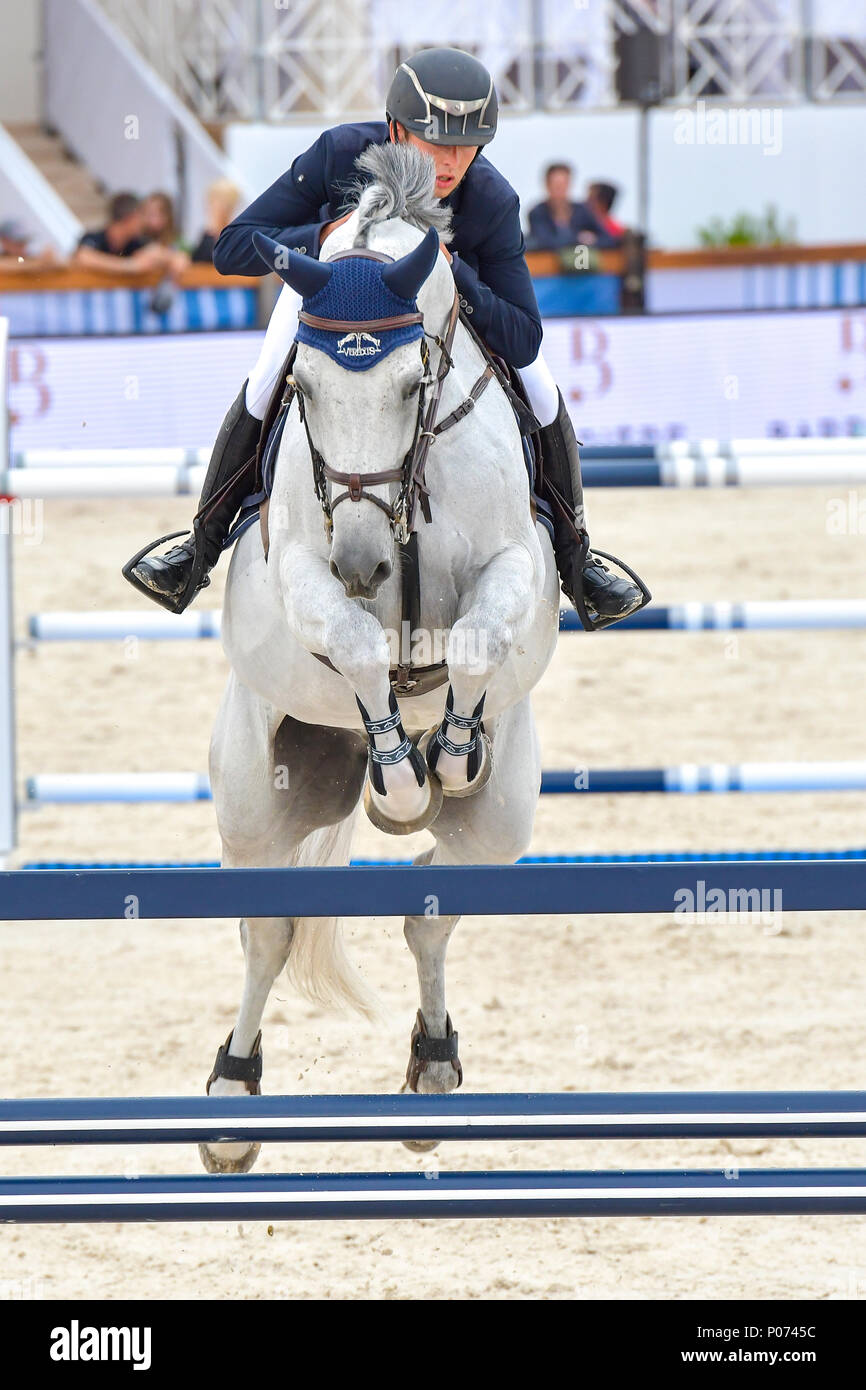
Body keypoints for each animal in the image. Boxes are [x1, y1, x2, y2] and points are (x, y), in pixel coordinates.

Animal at [200, 146, 558, 1173]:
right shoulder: (303, 572)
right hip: (255, 799)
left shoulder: (514, 562)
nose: (364, 563)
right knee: (268, 933)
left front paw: (446, 758)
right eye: (308, 394)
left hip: (504, 823)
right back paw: (230, 1101)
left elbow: (476, 636)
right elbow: (358, 643)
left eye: (409, 386)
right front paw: (400, 783)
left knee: (429, 915)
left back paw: (433, 1067)